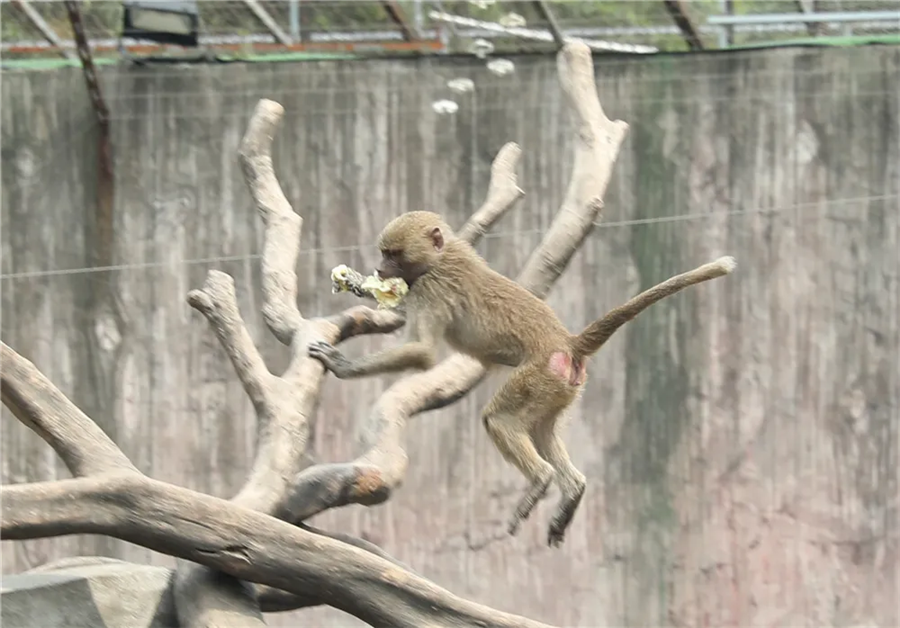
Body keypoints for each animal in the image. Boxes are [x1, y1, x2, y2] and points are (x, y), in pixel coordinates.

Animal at [312, 211, 740, 544]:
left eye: (393, 254)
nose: (380, 269)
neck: (442, 256)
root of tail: (566, 343)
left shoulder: (432, 290)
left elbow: (423, 351)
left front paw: (342, 364)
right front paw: (360, 286)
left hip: (537, 377)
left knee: (500, 420)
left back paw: (540, 481)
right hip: (561, 389)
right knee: (541, 430)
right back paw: (572, 491)